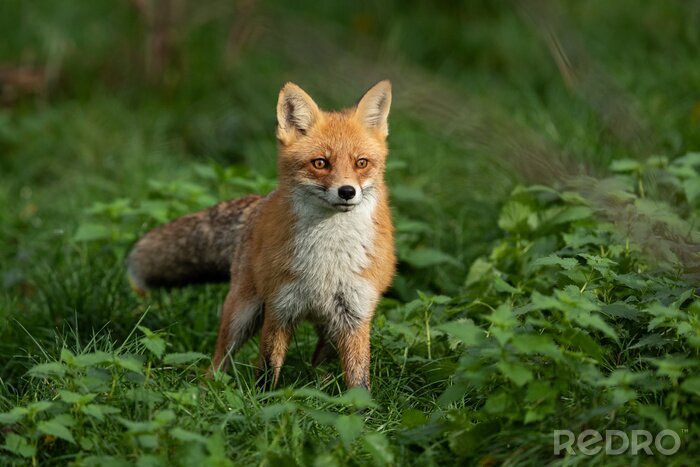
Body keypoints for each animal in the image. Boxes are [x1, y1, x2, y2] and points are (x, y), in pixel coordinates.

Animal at [127, 80, 396, 390]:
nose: (347, 191)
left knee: (318, 360)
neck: (328, 257)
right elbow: (267, 369)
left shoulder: (355, 315)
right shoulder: (279, 308)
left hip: (329, 331)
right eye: (320, 163)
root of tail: (258, 202)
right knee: (219, 360)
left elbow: (358, 381)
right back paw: (207, 390)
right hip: (242, 314)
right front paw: (263, 399)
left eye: (361, 163)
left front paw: (360, 404)